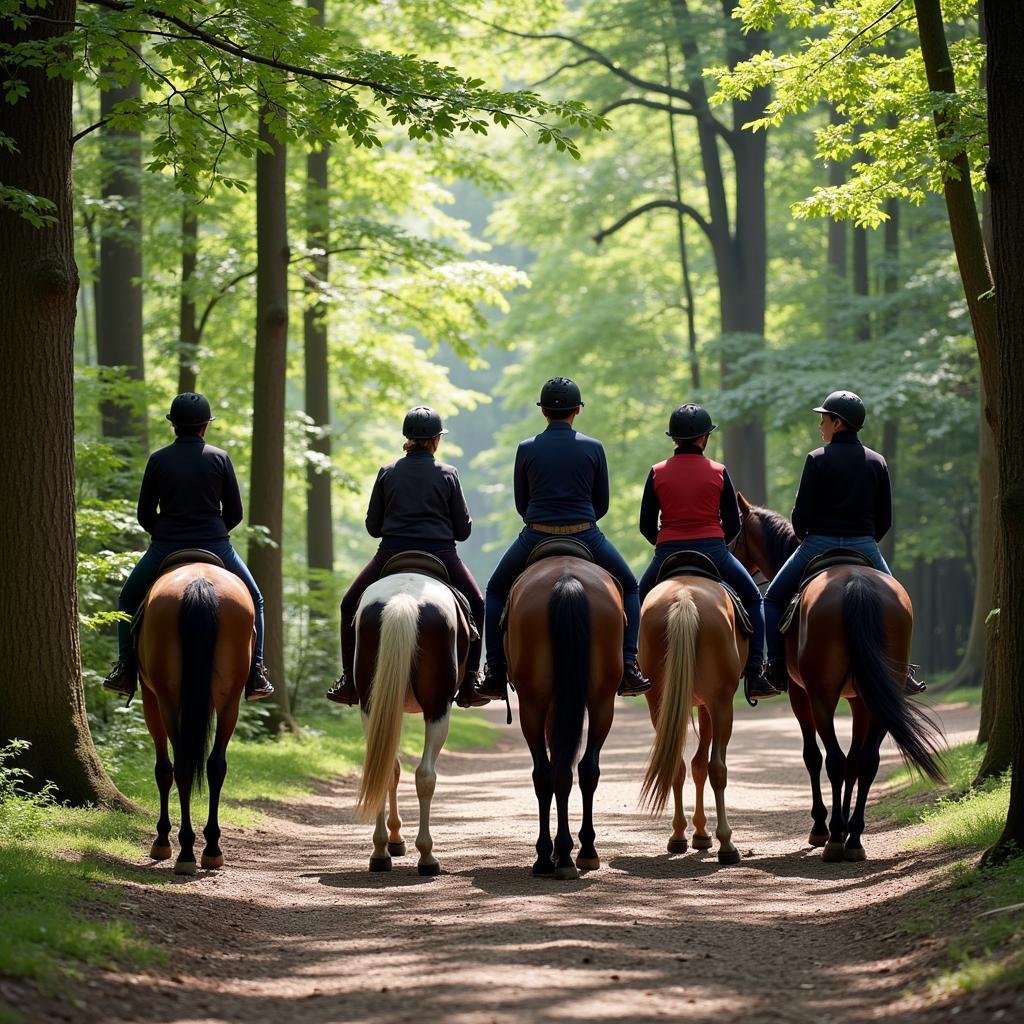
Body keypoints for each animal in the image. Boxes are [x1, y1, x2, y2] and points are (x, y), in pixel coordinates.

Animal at [136, 561, 253, 872]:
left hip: (167, 700)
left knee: (181, 766)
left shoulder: (149, 697)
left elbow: (163, 769)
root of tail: (199, 583)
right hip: (229, 700)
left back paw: (185, 850)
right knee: (215, 765)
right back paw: (211, 848)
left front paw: (161, 840)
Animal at [348, 573, 468, 876]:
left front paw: (393, 839)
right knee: (425, 775)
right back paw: (427, 856)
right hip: (438, 708)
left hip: (371, 706)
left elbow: (392, 770)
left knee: (385, 769)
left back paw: (380, 852)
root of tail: (403, 597)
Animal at [505, 552, 622, 880]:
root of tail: (567, 580)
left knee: (545, 774)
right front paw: (566, 850)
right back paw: (581, 852)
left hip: (532, 704)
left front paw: (555, 852)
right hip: (601, 700)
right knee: (584, 769)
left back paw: (549, 856)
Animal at [638, 577, 745, 864]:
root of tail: (684, 594)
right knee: (717, 768)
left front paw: (696, 832)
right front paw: (703, 832)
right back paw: (726, 843)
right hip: (722, 704)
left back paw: (677, 836)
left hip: (658, 701)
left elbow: (695, 766)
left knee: (676, 764)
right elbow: (703, 766)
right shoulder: (710, 705)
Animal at [729, 491, 942, 860]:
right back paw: (853, 837)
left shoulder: (800, 695)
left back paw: (834, 837)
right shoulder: (858, 700)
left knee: (834, 759)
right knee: (865, 760)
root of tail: (856, 582)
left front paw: (822, 826)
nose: (726, 553)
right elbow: (857, 760)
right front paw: (843, 828)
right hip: (880, 694)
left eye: (736, 532)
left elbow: (814, 757)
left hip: (822, 696)